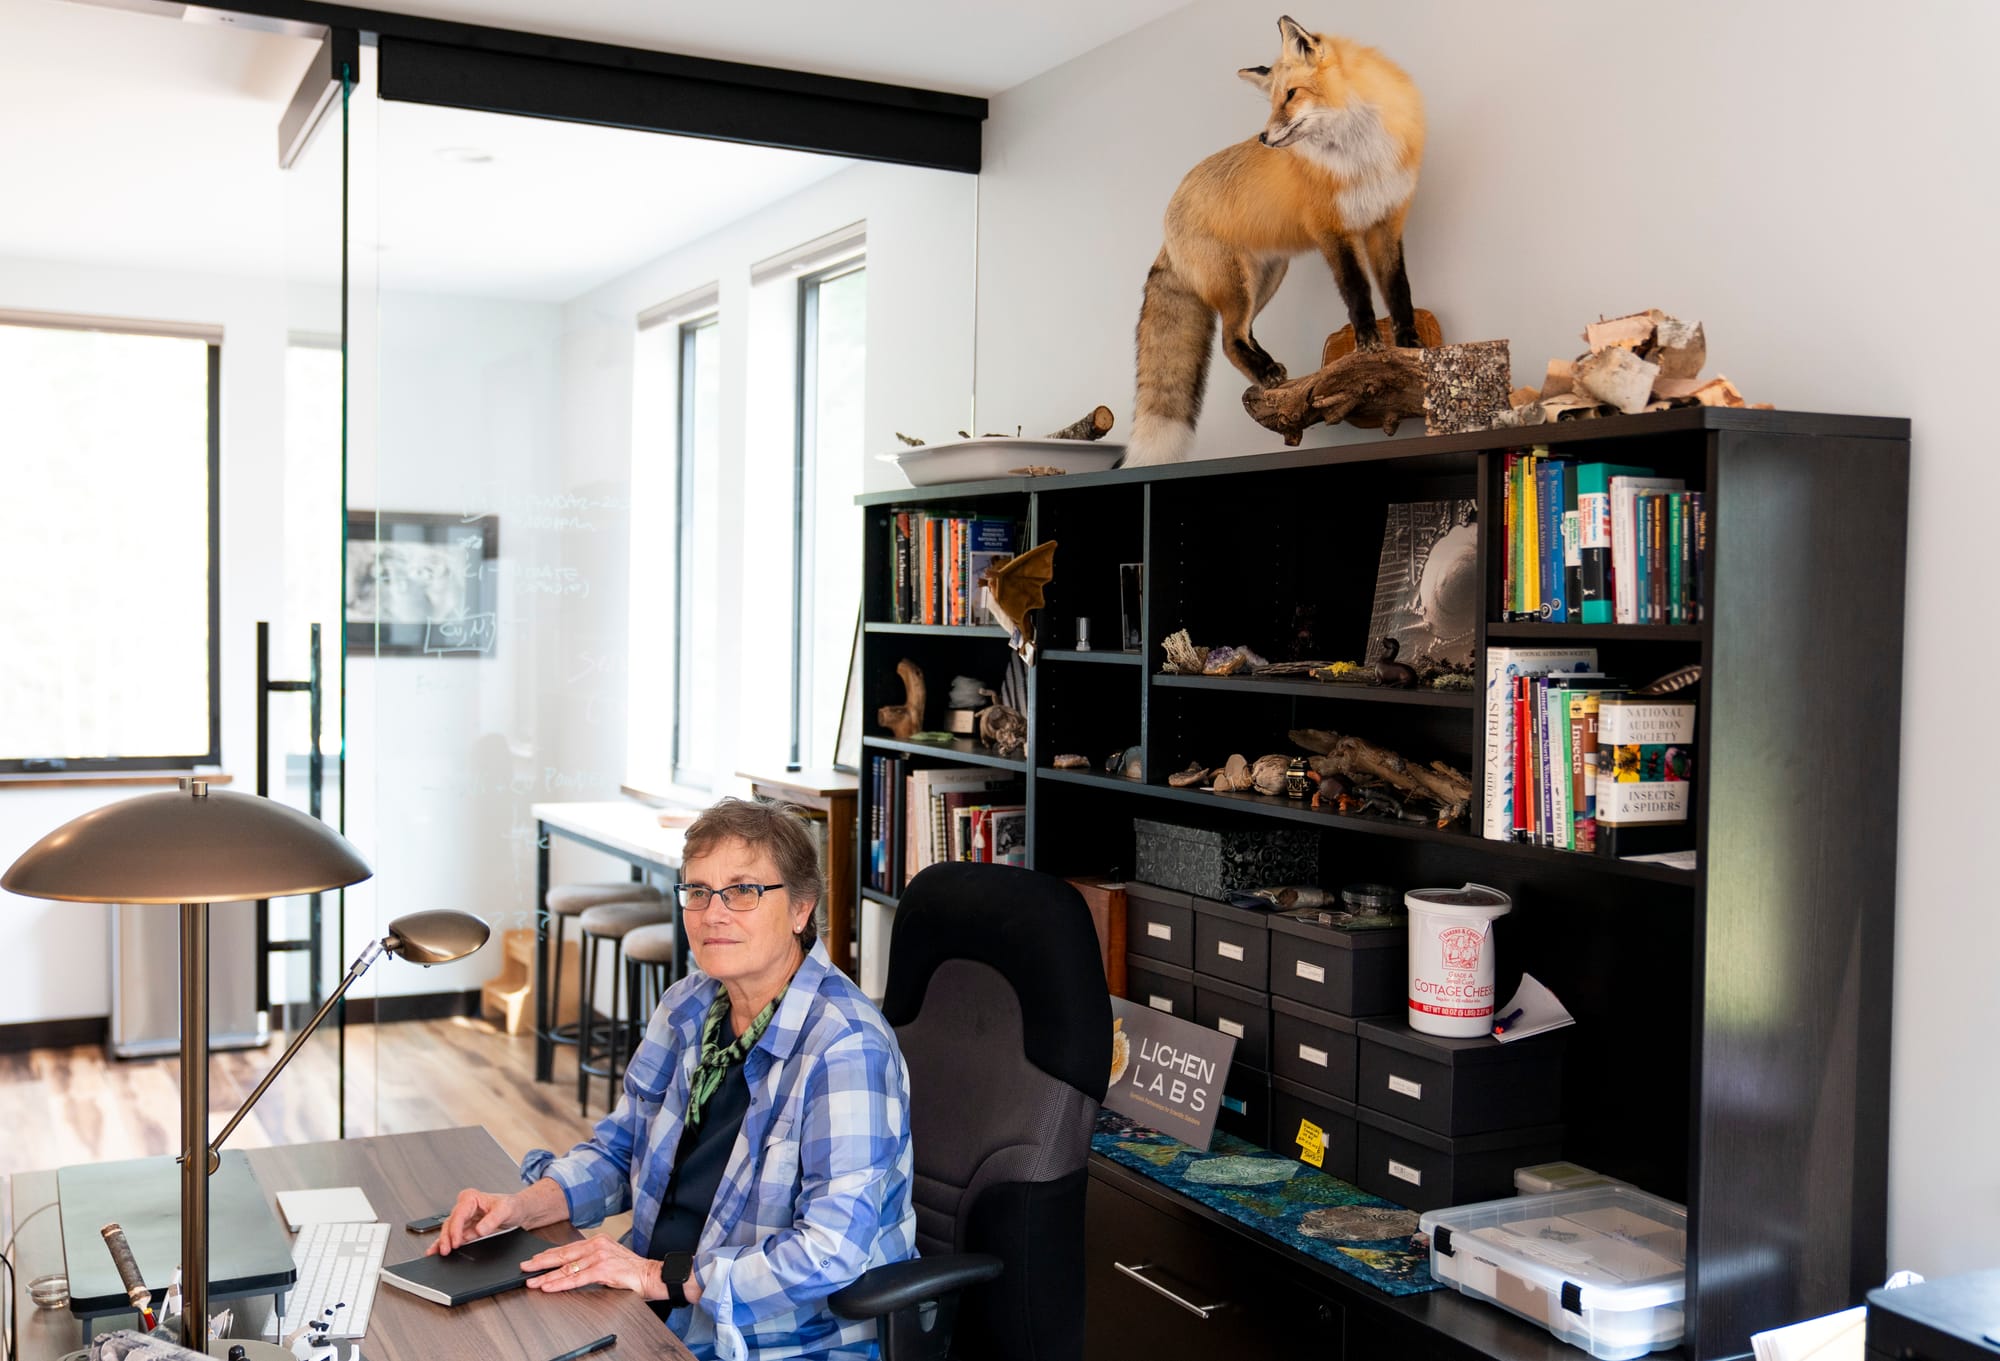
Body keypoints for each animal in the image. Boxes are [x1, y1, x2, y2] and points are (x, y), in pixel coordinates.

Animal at [1128, 14, 1424, 468]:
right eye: (1271, 102)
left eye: (1291, 94)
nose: (1264, 138)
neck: (1359, 155)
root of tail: (1165, 221)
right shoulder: (1332, 232)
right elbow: (1357, 291)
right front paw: (1367, 343)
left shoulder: (1386, 223)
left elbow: (1398, 290)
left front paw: (1408, 344)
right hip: (1238, 285)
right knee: (1229, 340)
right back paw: (1265, 372)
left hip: (1268, 278)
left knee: (1243, 332)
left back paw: (1266, 365)